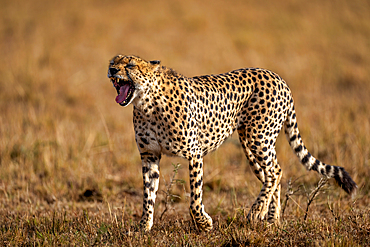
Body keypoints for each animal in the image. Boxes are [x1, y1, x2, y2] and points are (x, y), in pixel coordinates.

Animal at [107, 54, 358, 232]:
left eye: (130, 65)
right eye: (113, 61)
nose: (111, 70)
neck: (146, 103)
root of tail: (277, 76)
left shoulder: (194, 153)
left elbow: (194, 199)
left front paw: (204, 224)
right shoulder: (149, 155)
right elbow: (148, 195)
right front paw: (143, 228)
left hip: (260, 137)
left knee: (275, 170)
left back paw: (257, 212)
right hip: (249, 144)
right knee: (271, 174)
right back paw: (272, 219)